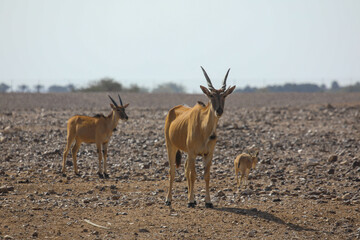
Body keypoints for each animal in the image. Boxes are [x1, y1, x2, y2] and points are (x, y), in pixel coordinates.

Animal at [164, 66, 236, 208]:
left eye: (224, 95)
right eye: (211, 95)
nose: (219, 111)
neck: (204, 130)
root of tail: (172, 110)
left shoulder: (208, 154)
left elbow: (206, 175)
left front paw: (207, 201)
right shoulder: (192, 152)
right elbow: (193, 175)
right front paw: (191, 201)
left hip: (187, 152)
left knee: (186, 168)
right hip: (171, 146)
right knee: (172, 171)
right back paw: (169, 200)